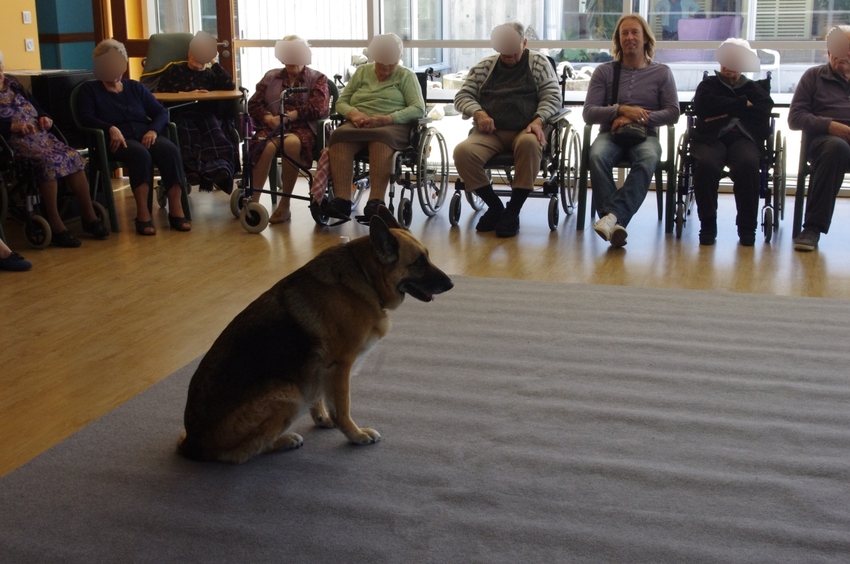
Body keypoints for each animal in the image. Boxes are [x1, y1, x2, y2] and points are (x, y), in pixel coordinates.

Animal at [179, 207, 454, 462]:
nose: (451, 284)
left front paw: (323, 419)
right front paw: (355, 435)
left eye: (427, 257)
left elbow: (320, 397)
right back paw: (284, 440)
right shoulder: (340, 366)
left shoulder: (320, 369)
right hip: (290, 395)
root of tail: (192, 443)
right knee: (243, 453)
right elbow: (342, 408)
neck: (364, 277)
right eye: (418, 262)